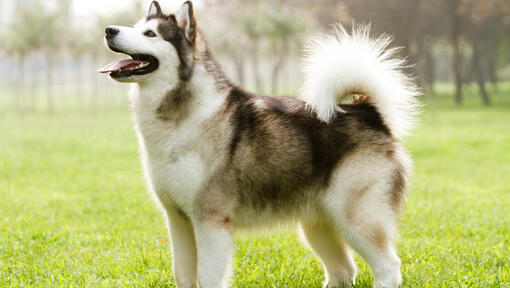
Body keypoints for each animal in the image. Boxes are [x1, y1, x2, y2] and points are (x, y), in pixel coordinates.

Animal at [98, 1, 418, 286]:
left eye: (150, 34)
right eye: (136, 27)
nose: (109, 30)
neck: (180, 115)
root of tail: (368, 112)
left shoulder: (210, 220)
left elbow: (208, 277)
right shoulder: (178, 220)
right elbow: (183, 275)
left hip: (356, 217)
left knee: (388, 267)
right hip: (317, 225)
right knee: (343, 271)